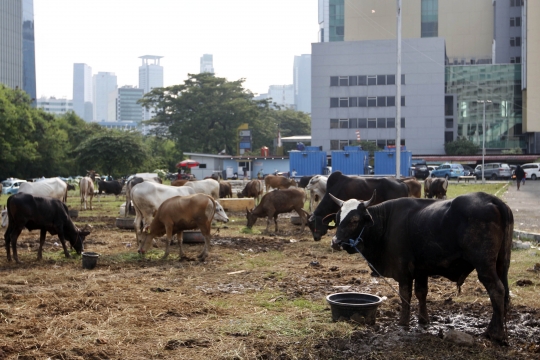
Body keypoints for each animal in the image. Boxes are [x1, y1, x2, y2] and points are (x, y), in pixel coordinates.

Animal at [330, 191, 510, 344]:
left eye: (354, 220)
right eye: (338, 219)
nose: (335, 242)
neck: (386, 222)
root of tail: (492, 199)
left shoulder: (403, 270)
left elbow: (405, 295)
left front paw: (403, 322)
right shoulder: (421, 269)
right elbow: (421, 293)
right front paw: (423, 320)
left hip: (484, 266)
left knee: (497, 290)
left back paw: (495, 333)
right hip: (501, 264)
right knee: (504, 293)